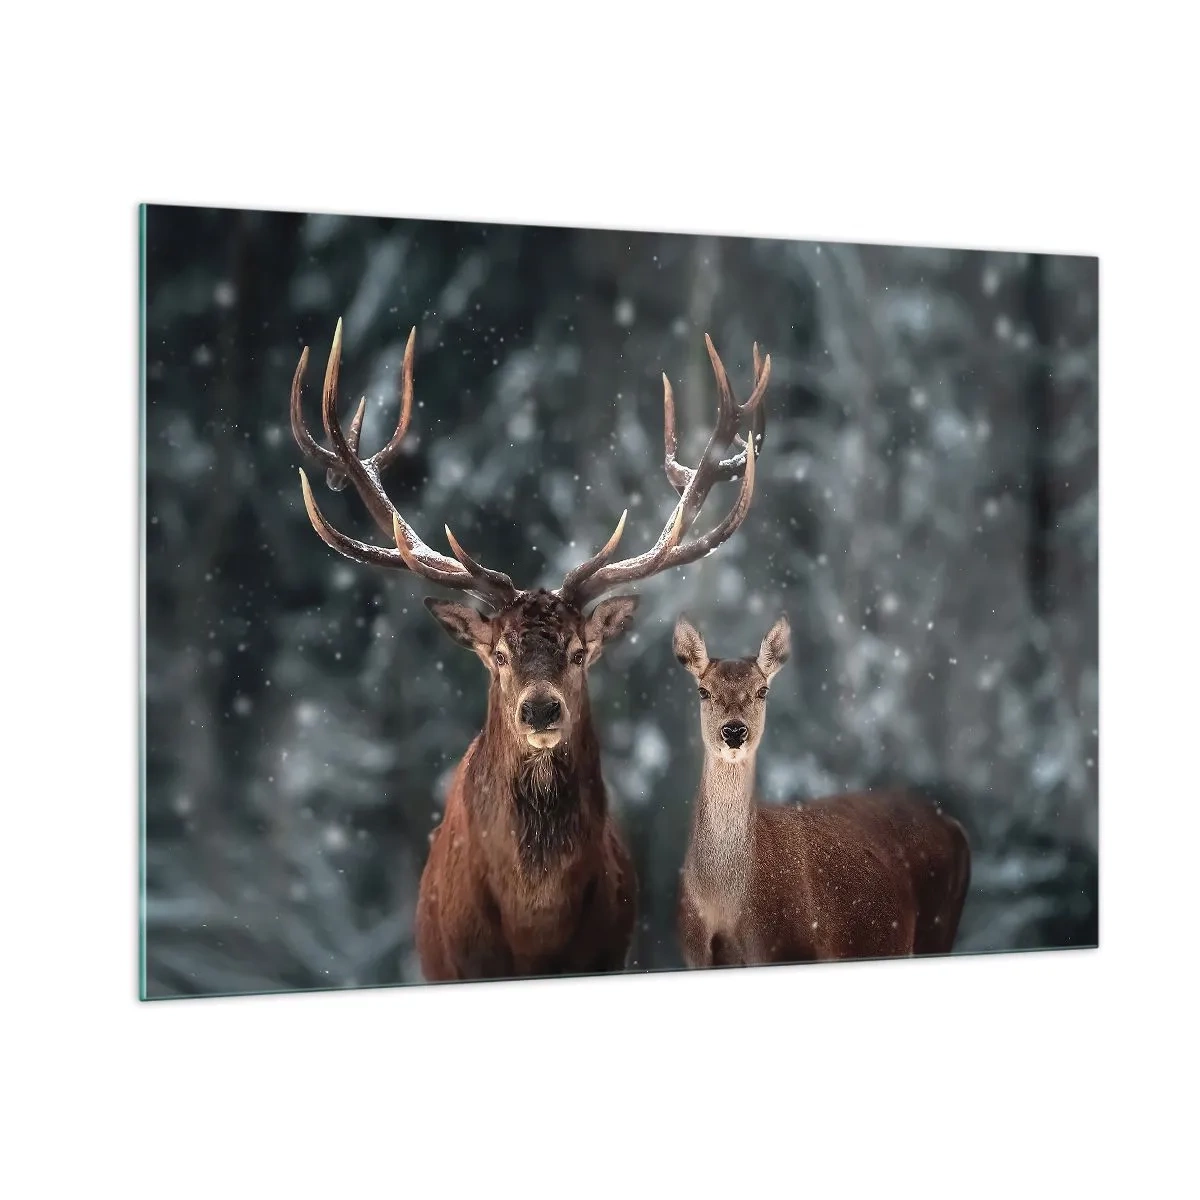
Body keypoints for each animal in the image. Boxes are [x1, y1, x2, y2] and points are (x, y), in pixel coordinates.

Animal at [672, 614, 971, 968]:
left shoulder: (788, 947)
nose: (733, 731)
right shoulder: (694, 954)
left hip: (937, 928)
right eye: (703, 691)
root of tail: (955, 825)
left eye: (762, 690)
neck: (726, 904)